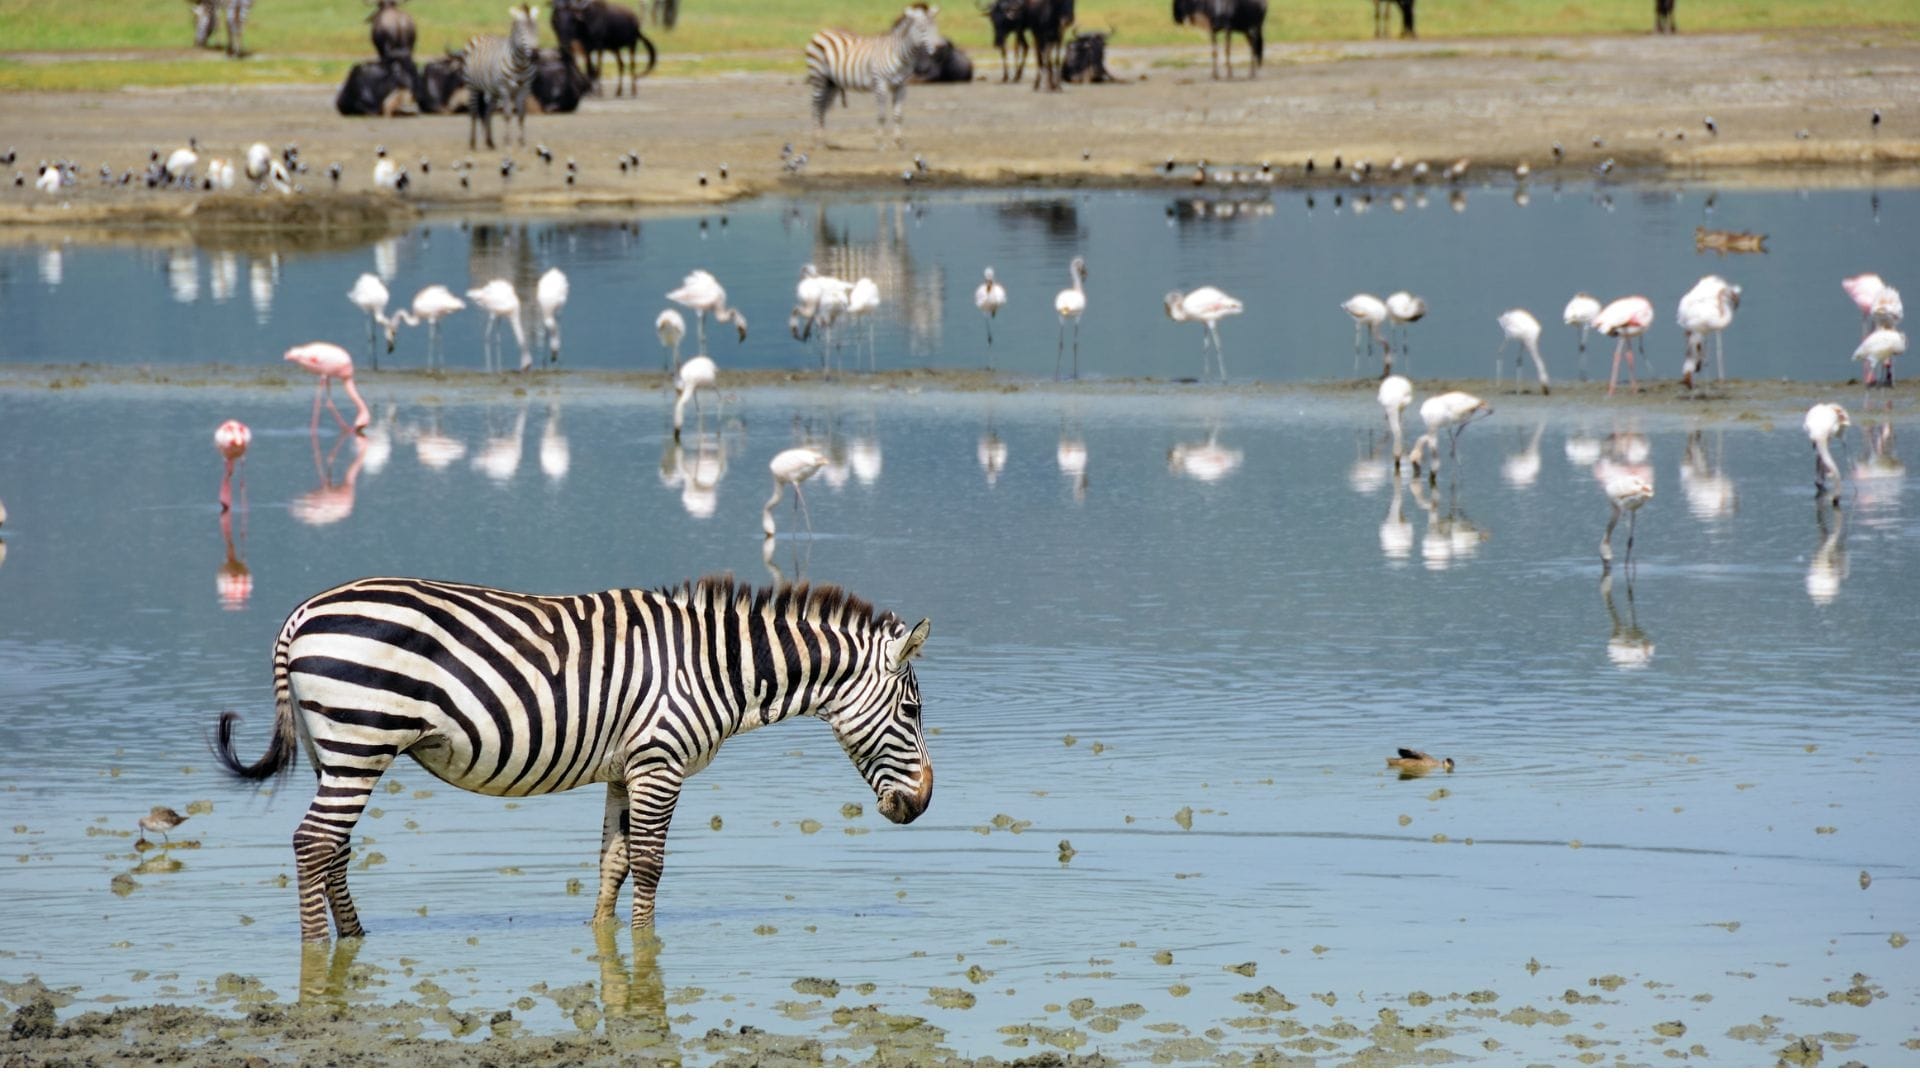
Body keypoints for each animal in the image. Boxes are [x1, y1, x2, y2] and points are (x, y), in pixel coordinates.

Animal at [214, 575, 934, 941]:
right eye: (912, 712)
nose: (924, 803)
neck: (714, 666)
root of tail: (302, 613)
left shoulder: (626, 766)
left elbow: (613, 860)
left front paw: (603, 936)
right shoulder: (660, 760)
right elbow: (650, 864)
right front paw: (645, 948)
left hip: (336, 749)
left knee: (333, 846)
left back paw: (357, 936)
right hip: (361, 738)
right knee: (313, 842)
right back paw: (318, 949)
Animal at [465, 5, 542, 150]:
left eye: (536, 29)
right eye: (521, 32)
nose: (535, 55)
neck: (520, 65)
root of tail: (483, 35)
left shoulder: (524, 89)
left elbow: (521, 115)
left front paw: (522, 143)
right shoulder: (505, 89)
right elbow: (507, 115)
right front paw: (508, 143)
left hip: (494, 91)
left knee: (488, 111)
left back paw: (490, 142)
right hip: (472, 86)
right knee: (473, 111)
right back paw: (472, 143)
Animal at [806, 4, 945, 149]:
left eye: (936, 27)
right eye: (922, 28)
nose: (941, 47)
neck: (900, 55)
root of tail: (823, 31)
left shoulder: (901, 86)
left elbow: (898, 115)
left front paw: (899, 142)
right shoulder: (880, 83)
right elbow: (881, 115)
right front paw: (880, 143)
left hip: (831, 82)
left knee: (822, 108)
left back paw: (823, 141)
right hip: (818, 77)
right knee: (815, 107)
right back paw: (816, 142)